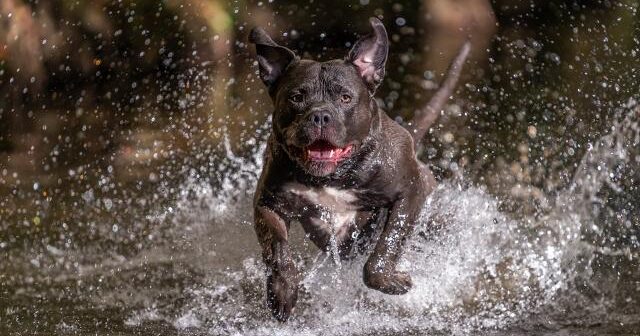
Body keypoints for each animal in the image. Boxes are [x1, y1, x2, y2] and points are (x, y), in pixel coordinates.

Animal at [250, 17, 470, 322]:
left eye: (345, 97)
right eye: (296, 97)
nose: (320, 115)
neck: (334, 177)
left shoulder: (411, 190)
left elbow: (388, 244)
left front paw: (392, 280)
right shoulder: (269, 203)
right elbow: (277, 248)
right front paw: (282, 291)